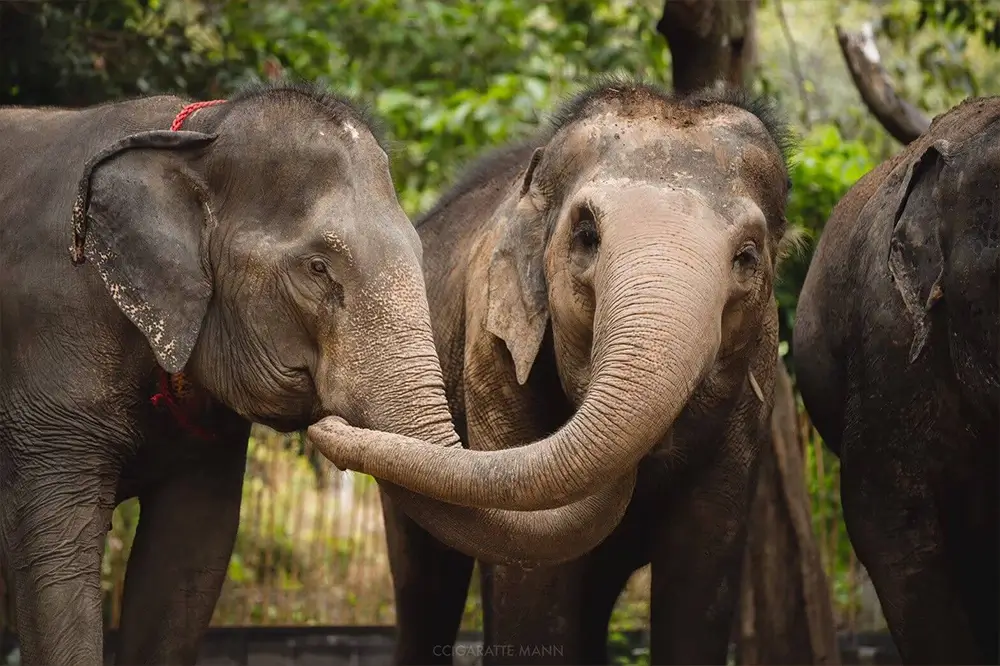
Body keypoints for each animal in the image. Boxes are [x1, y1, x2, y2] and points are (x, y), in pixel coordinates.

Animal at [0, 81, 600, 664]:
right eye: (317, 268)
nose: (330, 427)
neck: (196, 135)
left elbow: (186, 562)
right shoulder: (49, 367)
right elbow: (58, 560)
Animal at [308, 80, 800, 660]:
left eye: (747, 257)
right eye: (586, 236)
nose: (326, 425)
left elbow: (701, 574)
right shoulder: (490, 347)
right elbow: (533, 577)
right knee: (425, 582)